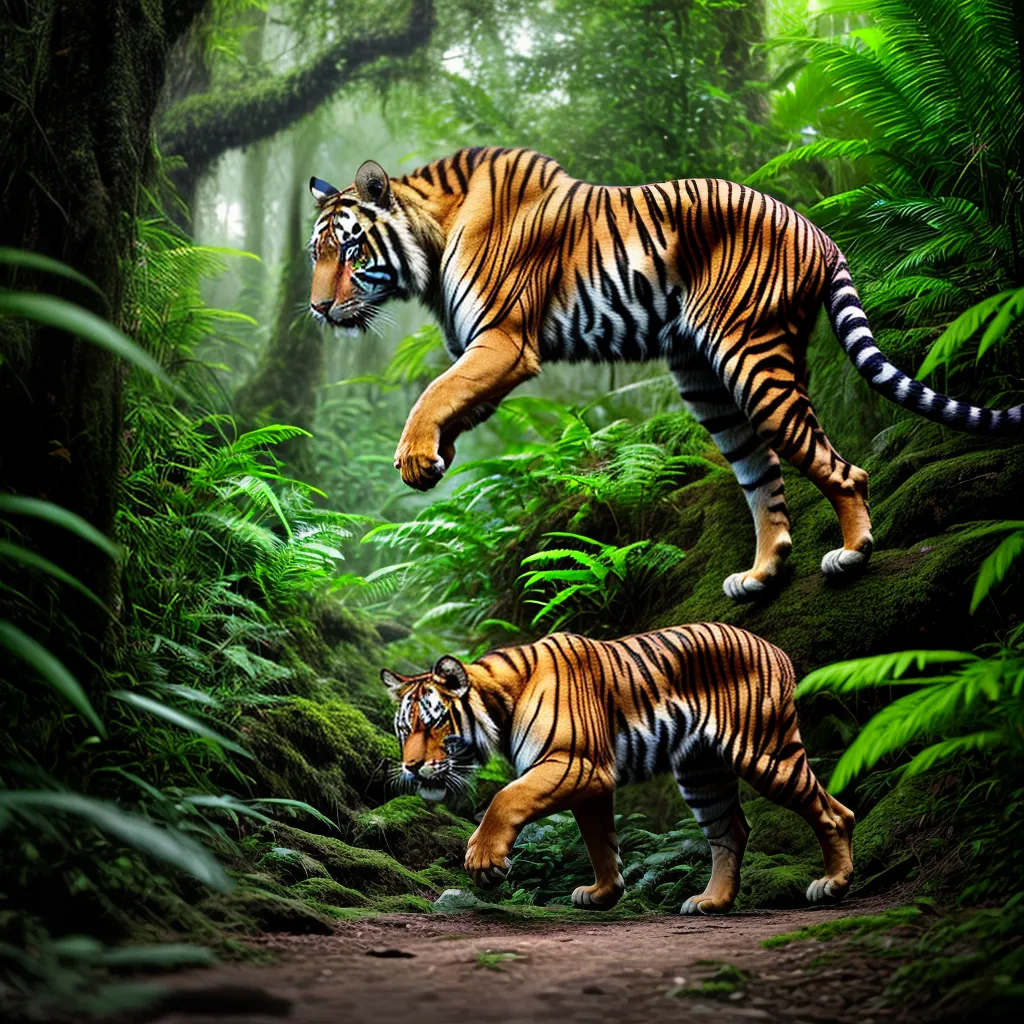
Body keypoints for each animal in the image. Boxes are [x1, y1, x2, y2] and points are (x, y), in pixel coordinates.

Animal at [308, 148, 1022, 600]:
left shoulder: (504, 341)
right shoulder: (487, 351)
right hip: (709, 382)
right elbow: (454, 399)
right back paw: (759, 578)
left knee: (841, 468)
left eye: (349, 250)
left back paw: (851, 554)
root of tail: (816, 226)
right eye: (317, 252)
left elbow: (435, 391)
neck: (430, 240)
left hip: (751, 356)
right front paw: (433, 461)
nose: (315, 308)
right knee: (764, 478)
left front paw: (414, 455)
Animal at [382, 622, 854, 915]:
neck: (503, 701)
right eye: (404, 729)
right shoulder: (589, 779)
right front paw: (603, 894)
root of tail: (774, 647)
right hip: (702, 773)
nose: (411, 767)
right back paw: (711, 902)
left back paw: (832, 883)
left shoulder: (574, 761)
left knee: (834, 814)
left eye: (434, 723)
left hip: (764, 751)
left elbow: (506, 796)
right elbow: (599, 841)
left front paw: (483, 861)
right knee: (731, 831)